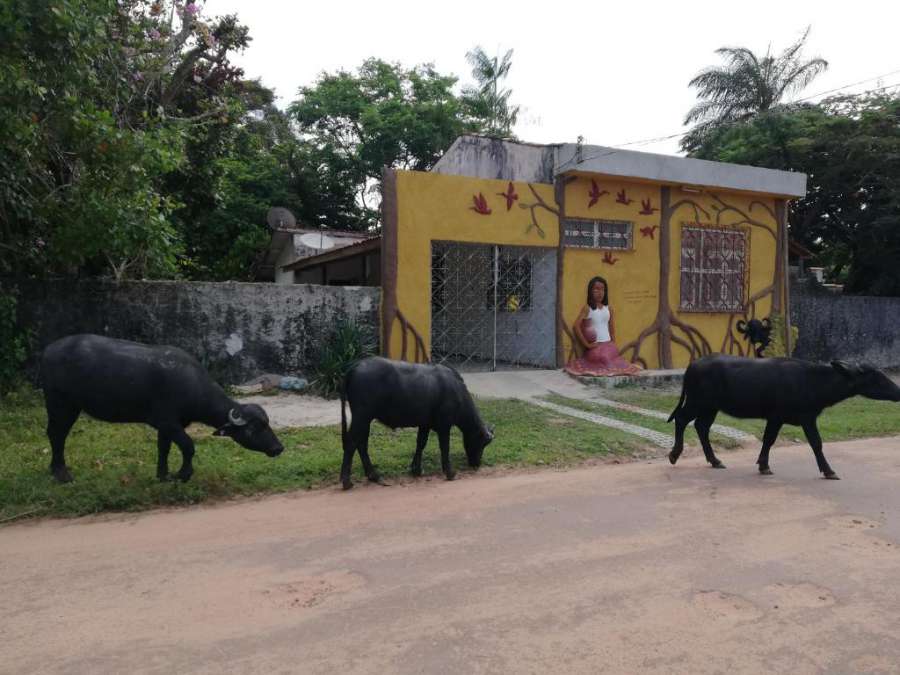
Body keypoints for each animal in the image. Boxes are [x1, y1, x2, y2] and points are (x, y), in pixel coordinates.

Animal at [39, 334, 282, 484]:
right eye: (253, 429)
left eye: (267, 424)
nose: (278, 448)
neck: (192, 386)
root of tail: (48, 351)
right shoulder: (167, 422)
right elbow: (188, 446)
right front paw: (182, 474)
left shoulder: (167, 427)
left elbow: (163, 448)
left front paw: (162, 475)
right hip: (61, 404)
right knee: (56, 434)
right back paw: (61, 473)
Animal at [340, 360, 496, 492]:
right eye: (482, 443)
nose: (477, 464)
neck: (456, 391)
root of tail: (356, 365)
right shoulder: (444, 426)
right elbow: (445, 447)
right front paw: (450, 472)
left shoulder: (425, 424)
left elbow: (421, 443)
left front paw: (416, 469)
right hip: (361, 417)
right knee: (352, 443)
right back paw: (347, 481)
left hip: (365, 420)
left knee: (361, 444)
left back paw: (374, 476)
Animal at [664, 354, 900, 480]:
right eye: (876, 378)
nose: (898, 391)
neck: (812, 381)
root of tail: (693, 365)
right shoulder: (803, 418)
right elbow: (816, 443)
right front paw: (829, 471)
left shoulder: (776, 418)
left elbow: (769, 440)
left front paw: (763, 465)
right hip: (698, 402)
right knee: (682, 419)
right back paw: (674, 454)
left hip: (710, 408)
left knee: (701, 427)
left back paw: (715, 460)